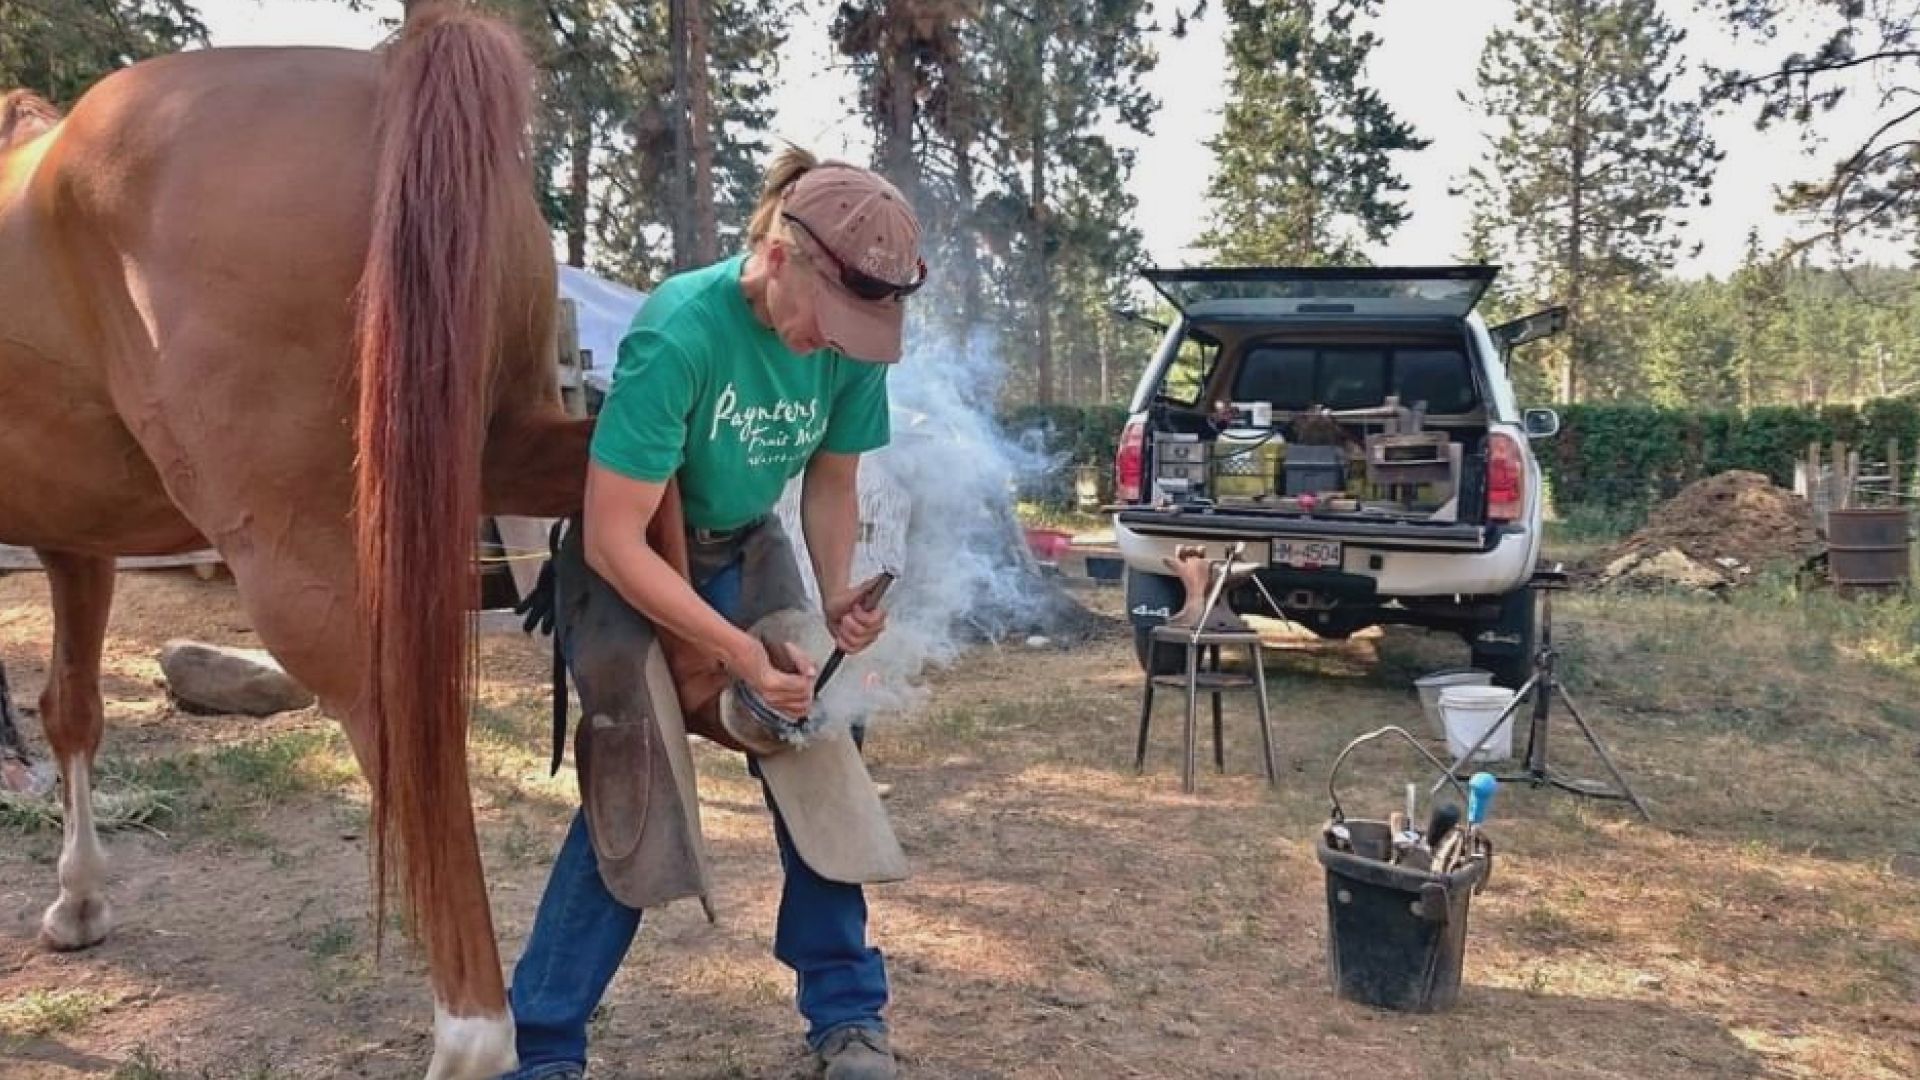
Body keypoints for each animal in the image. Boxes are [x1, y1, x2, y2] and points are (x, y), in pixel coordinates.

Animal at [0, 6, 591, 1068]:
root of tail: (388, 77)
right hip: (514, 442)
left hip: (306, 561)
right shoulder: (78, 537)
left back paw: (471, 1038)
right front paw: (80, 901)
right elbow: (72, 708)